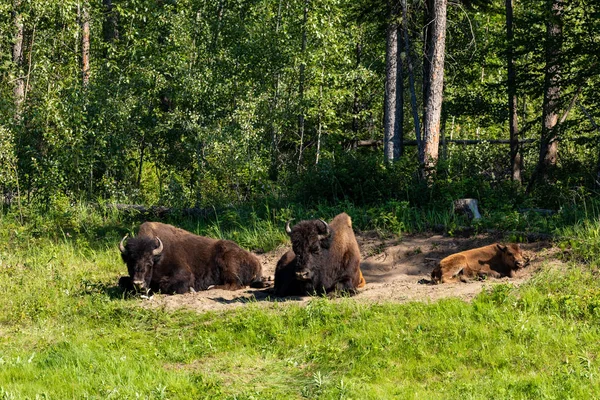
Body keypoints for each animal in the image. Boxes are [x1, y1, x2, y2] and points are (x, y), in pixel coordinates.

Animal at [118, 222, 268, 294]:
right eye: (129, 263)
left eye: (149, 263)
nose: (138, 283)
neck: (159, 257)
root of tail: (256, 261)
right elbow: (121, 281)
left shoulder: (184, 274)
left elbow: (167, 285)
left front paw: (191, 289)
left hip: (228, 264)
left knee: (234, 284)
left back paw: (211, 287)